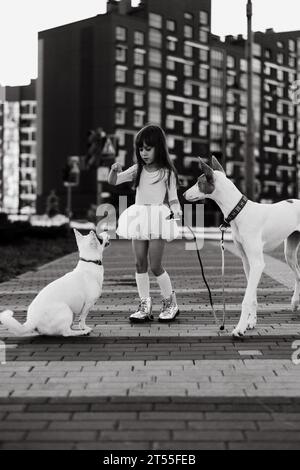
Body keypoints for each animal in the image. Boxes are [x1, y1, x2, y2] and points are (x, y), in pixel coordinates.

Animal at [184, 158, 300, 338]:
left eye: (199, 182)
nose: (183, 194)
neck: (239, 213)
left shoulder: (257, 263)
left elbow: (246, 299)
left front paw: (239, 328)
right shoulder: (247, 262)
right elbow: (252, 296)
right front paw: (250, 323)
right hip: (289, 254)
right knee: (298, 275)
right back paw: (295, 301)